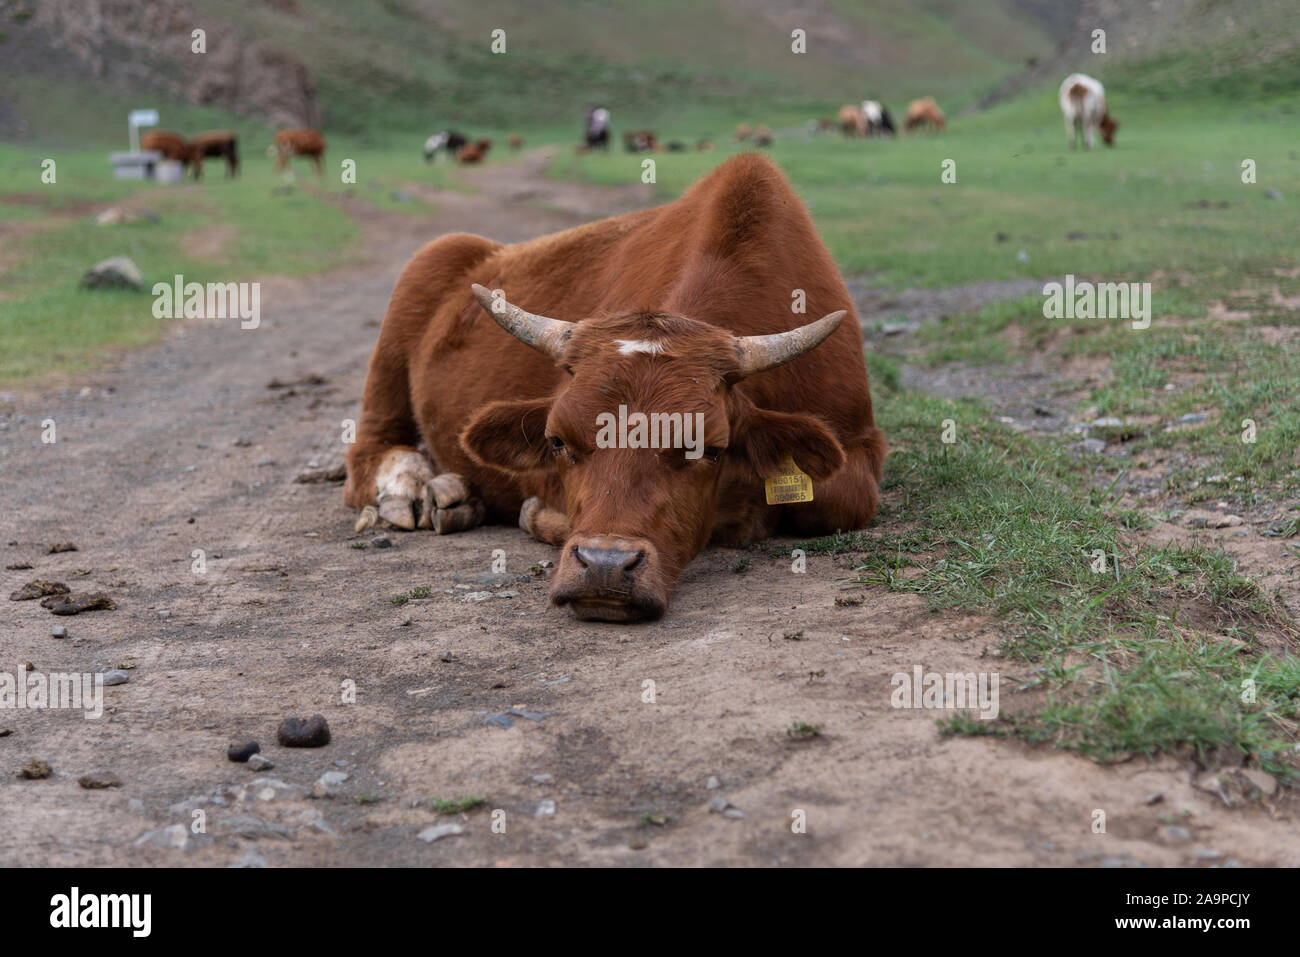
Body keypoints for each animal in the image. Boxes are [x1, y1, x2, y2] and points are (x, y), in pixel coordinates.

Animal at [340, 151, 889, 621]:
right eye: (557, 442)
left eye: (708, 449)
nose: (604, 566)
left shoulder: (858, 441)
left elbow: (837, 502)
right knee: (368, 451)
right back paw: (417, 491)